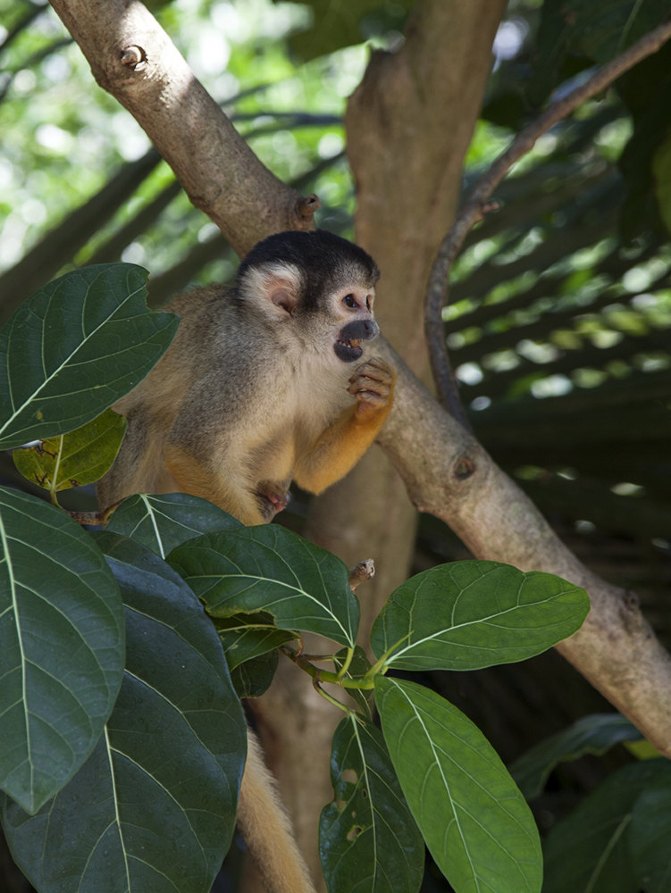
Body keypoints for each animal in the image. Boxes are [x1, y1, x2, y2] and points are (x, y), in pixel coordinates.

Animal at [97, 230, 396, 892]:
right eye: (350, 302)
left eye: (369, 301)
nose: (372, 326)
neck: (290, 347)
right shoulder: (245, 365)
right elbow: (192, 448)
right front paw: (285, 575)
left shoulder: (334, 371)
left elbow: (314, 468)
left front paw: (377, 403)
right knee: (151, 422)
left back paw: (274, 494)